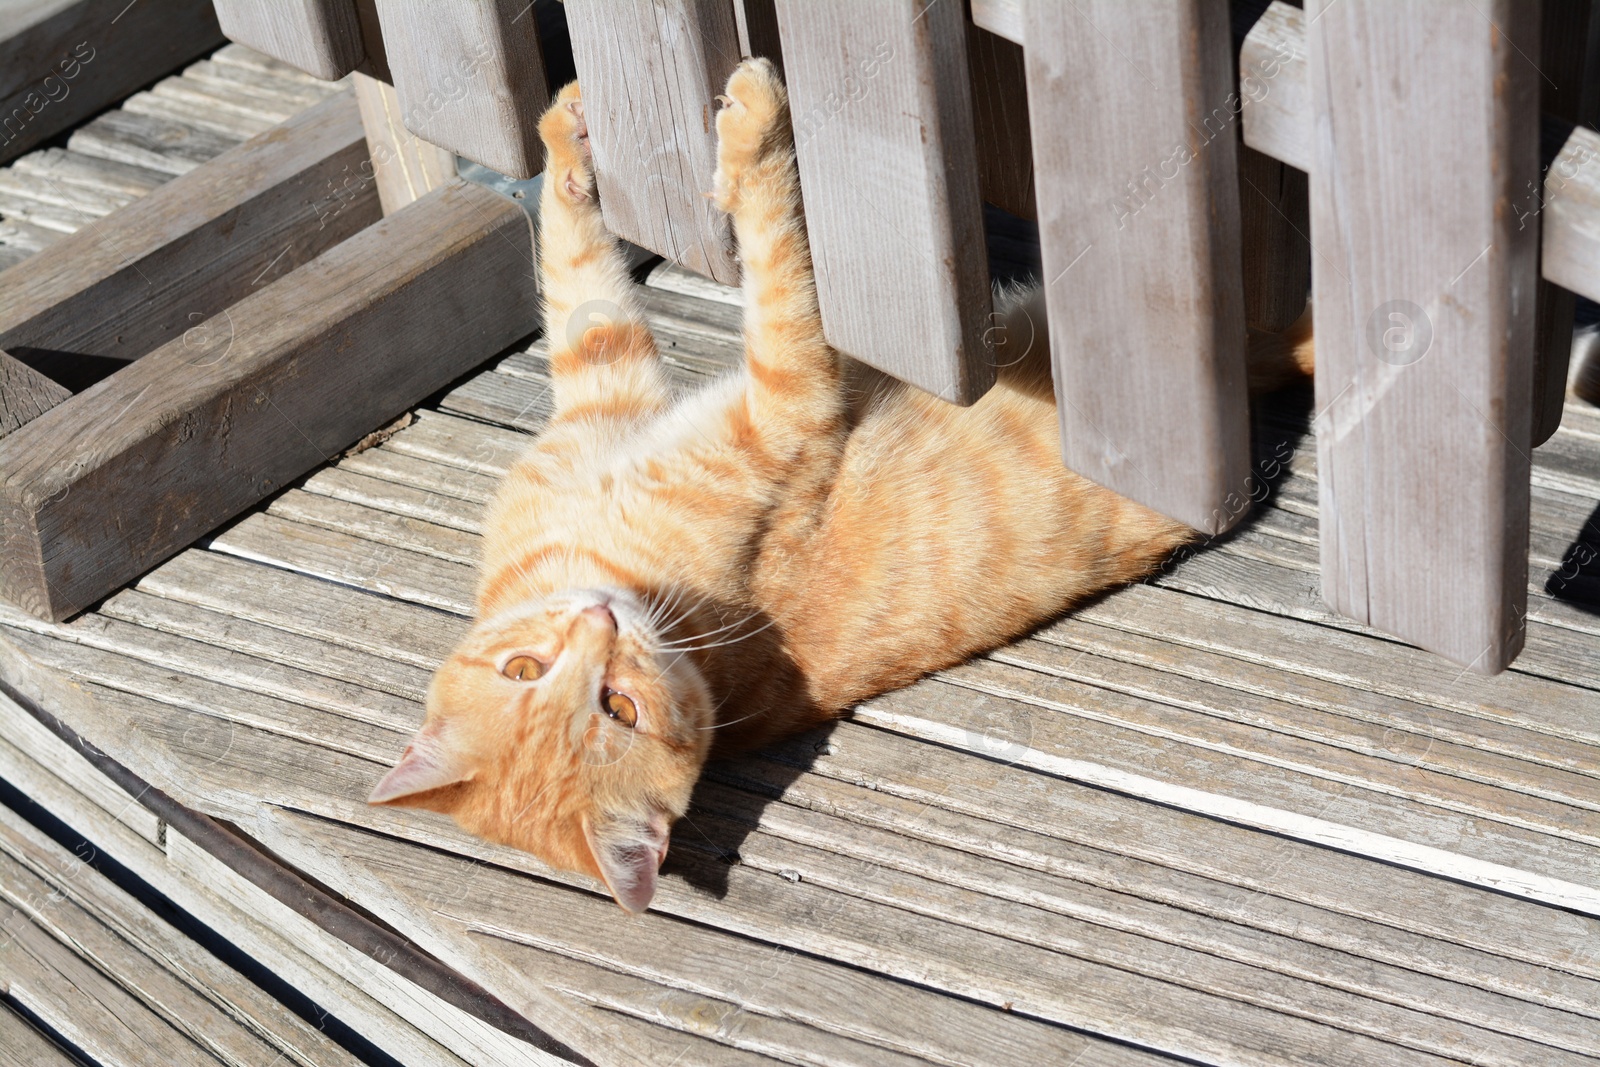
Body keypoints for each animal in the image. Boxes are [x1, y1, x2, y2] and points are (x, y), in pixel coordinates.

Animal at [366, 60, 1312, 908]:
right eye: (619, 707)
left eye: (524, 669)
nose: (600, 622)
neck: (602, 565)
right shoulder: (784, 399)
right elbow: (773, 262)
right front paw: (752, 127)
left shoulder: (611, 388)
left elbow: (579, 273)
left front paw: (571, 137)